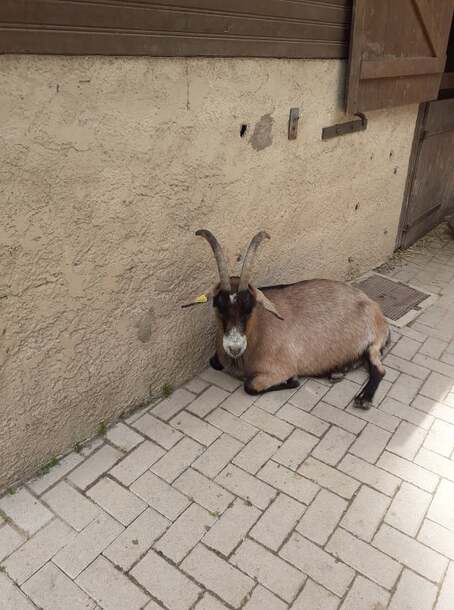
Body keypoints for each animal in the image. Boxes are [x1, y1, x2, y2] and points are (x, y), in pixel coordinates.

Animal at [184, 229, 390, 408]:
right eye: (218, 305)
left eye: (249, 308)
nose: (235, 347)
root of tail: (372, 305)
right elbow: (214, 361)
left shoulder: (280, 369)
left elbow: (250, 386)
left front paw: (292, 381)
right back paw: (338, 372)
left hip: (373, 343)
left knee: (379, 369)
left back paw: (363, 399)